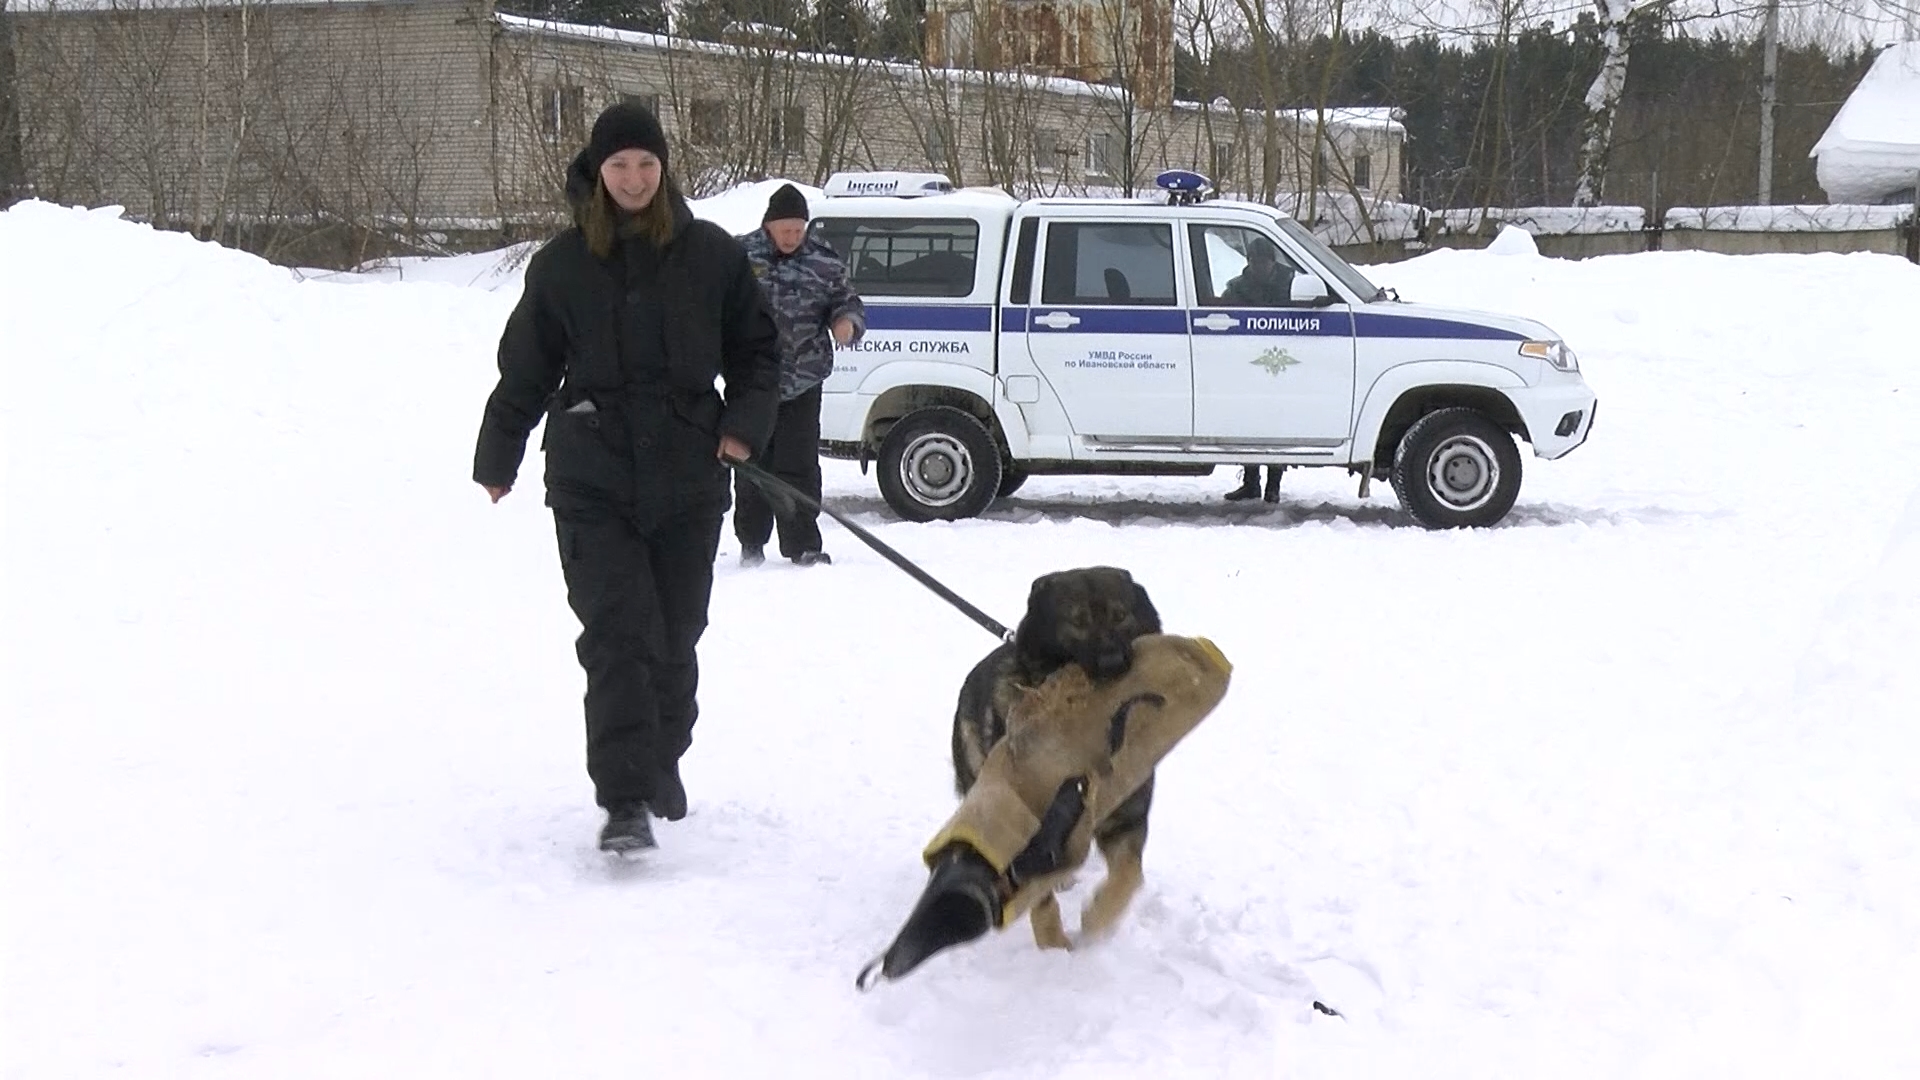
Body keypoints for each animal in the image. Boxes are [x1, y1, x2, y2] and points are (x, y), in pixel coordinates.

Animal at [952, 564, 1159, 941]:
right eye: (1077, 622)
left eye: (1121, 615)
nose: (1112, 662)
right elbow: (1041, 900)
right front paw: (1054, 947)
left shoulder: (1128, 818)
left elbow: (1129, 874)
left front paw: (1097, 922)